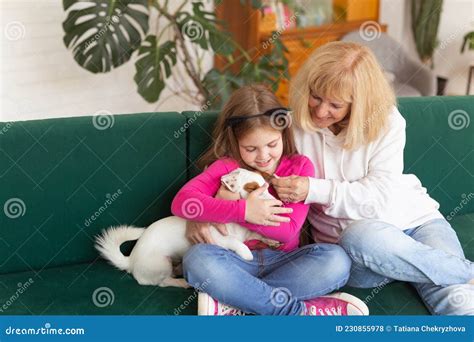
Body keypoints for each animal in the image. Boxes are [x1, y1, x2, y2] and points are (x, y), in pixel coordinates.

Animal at [96, 168, 282, 288]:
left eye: (267, 186)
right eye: (252, 188)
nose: (279, 203)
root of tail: (130, 260)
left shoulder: (247, 233)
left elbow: (256, 235)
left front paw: (272, 241)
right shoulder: (219, 239)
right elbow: (238, 244)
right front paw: (247, 254)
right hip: (161, 263)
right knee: (162, 282)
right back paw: (182, 282)